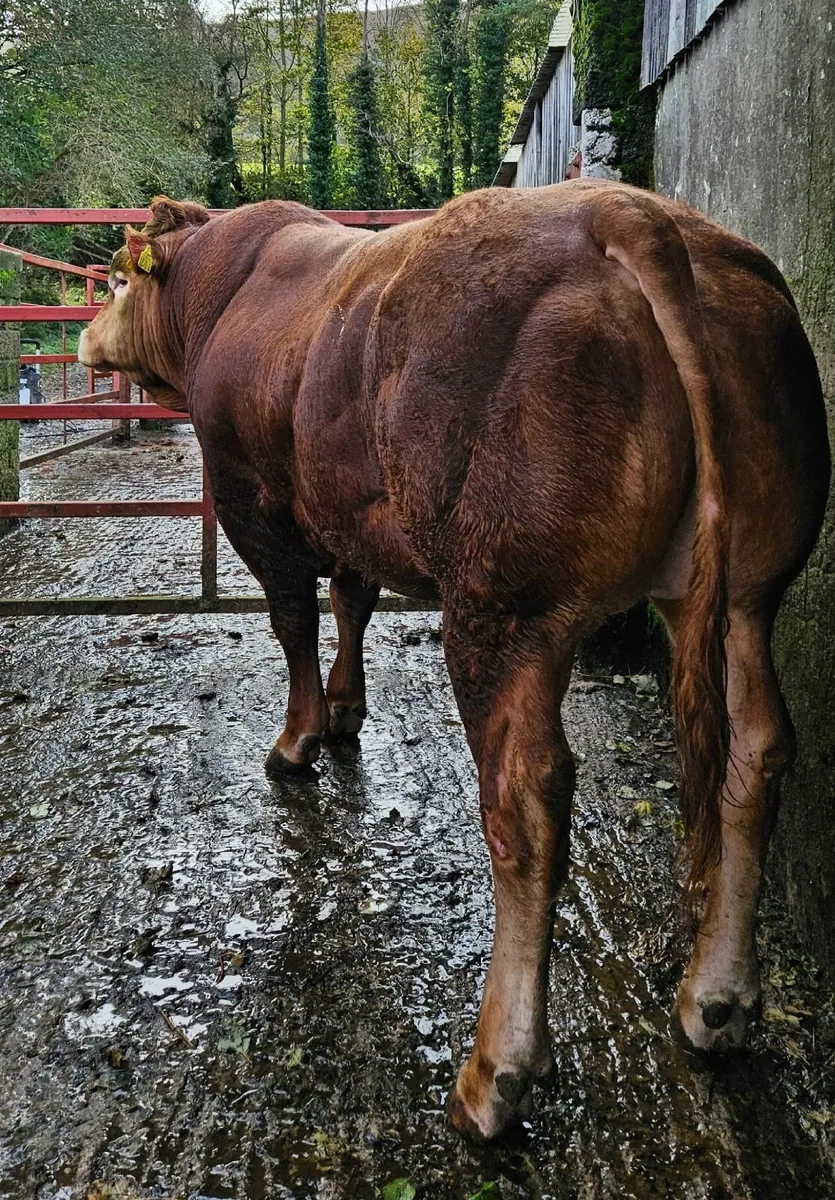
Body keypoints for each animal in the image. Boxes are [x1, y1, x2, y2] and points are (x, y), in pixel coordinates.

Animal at [78, 182, 830, 1141]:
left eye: (113, 279)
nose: (83, 336)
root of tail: (633, 213)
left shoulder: (253, 499)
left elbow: (293, 619)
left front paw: (298, 739)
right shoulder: (349, 507)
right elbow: (350, 599)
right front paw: (345, 710)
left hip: (500, 606)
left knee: (525, 797)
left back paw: (493, 1075)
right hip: (748, 591)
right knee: (755, 750)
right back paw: (716, 1003)